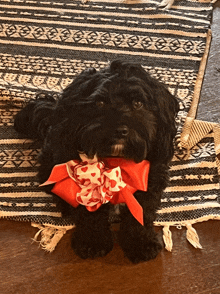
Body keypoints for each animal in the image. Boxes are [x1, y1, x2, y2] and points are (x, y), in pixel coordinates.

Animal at [13, 59, 179, 262]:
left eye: (138, 103)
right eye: (100, 103)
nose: (120, 130)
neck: (116, 163)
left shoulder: (149, 182)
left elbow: (141, 216)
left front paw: (141, 243)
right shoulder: (85, 185)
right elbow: (90, 216)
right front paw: (93, 242)